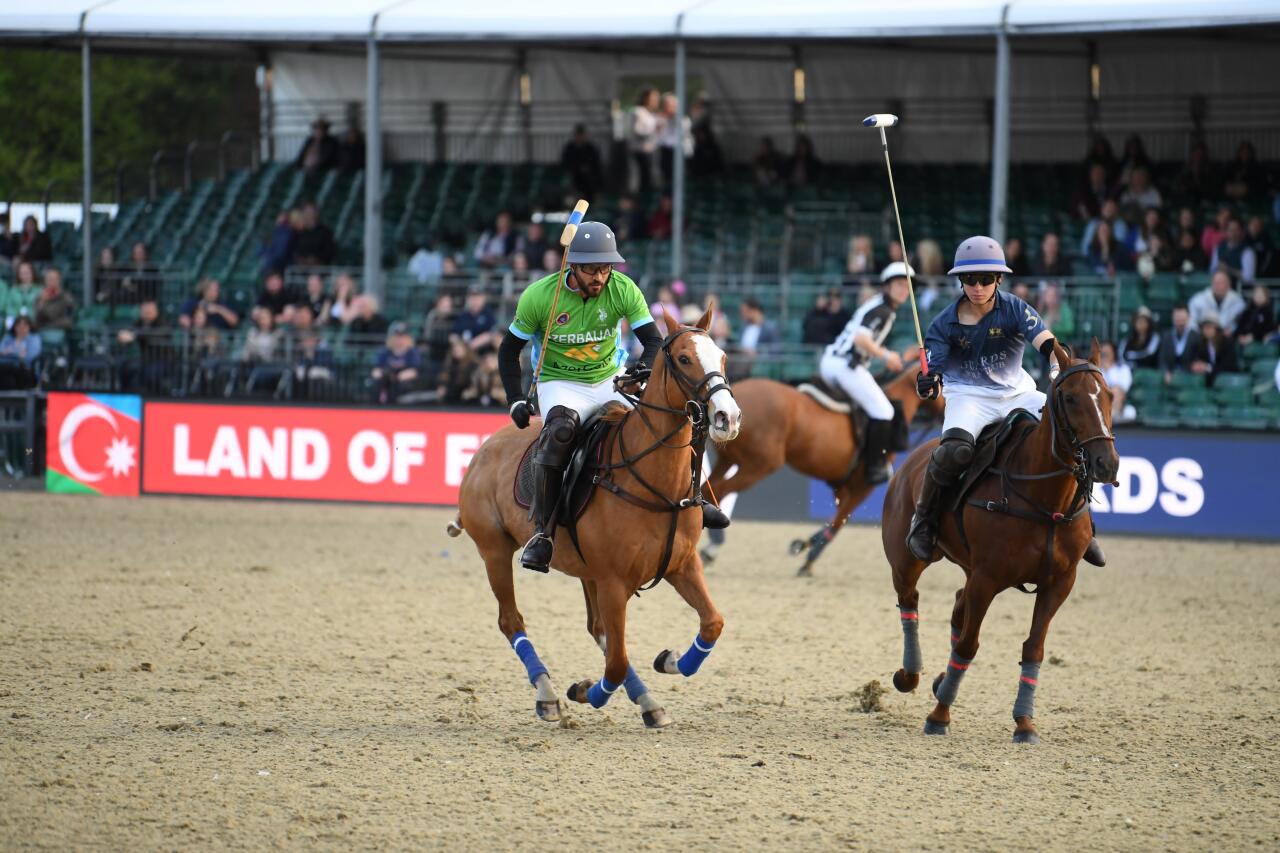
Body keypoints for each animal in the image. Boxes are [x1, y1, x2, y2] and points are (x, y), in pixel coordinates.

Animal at [448, 308, 742, 727]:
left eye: (722, 357)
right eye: (684, 358)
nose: (727, 417)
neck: (656, 484)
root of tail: (484, 448)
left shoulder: (681, 565)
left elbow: (712, 623)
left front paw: (668, 661)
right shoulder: (615, 582)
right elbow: (616, 663)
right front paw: (587, 692)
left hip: (586, 570)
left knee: (598, 630)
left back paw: (647, 703)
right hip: (494, 550)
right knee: (512, 620)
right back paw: (548, 695)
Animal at [706, 366, 947, 571]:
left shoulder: (842, 487)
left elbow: (834, 520)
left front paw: (803, 546)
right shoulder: (863, 486)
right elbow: (838, 522)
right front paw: (809, 557)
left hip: (728, 459)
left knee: (710, 487)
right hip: (758, 465)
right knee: (719, 490)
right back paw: (712, 546)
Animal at [885, 338, 1116, 737]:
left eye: (1110, 396)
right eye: (1071, 398)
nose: (1107, 464)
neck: (1046, 501)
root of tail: (914, 457)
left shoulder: (1059, 582)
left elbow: (1033, 648)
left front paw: (1024, 722)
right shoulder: (988, 577)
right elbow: (968, 645)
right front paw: (939, 717)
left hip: (968, 568)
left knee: (956, 606)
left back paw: (939, 682)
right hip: (907, 557)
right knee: (909, 600)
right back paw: (910, 675)